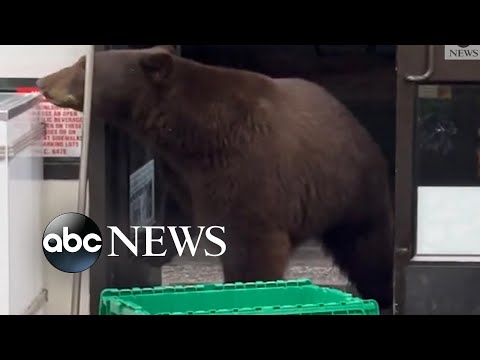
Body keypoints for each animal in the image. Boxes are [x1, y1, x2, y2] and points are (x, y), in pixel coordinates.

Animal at [36, 45, 394, 310]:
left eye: (83, 65)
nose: (42, 82)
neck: (192, 134)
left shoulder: (248, 171)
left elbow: (251, 246)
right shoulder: (186, 179)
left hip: (350, 189)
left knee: (368, 247)